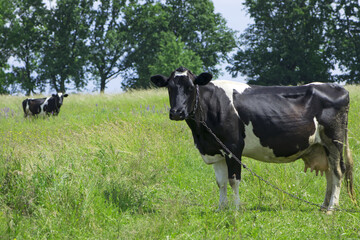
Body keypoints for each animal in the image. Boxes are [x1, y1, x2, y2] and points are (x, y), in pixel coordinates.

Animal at [151, 66, 354, 212]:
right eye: (169, 88)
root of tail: (338, 88)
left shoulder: (233, 148)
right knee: (329, 173)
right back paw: (323, 206)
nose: (177, 112)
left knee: (338, 171)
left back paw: (332, 208)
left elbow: (234, 180)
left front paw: (235, 209)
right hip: (322, 146)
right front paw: (221, 209)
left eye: (191, 87)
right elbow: (221, 182)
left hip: (334, 140)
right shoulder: (216, 150)